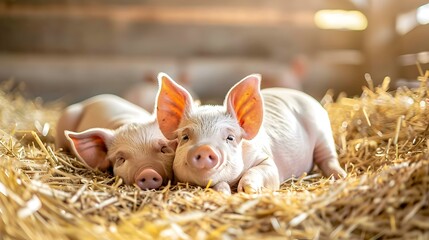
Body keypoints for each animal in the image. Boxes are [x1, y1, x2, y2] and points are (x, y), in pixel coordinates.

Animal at [155, 72, 346, 193]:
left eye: (230, 137)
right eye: (185, 137)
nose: (204, 148)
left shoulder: (266, 160)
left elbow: (262, 172)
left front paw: (249, 190)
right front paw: (224, 190)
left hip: (323, 132)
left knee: (328, 158)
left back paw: (341, 175)